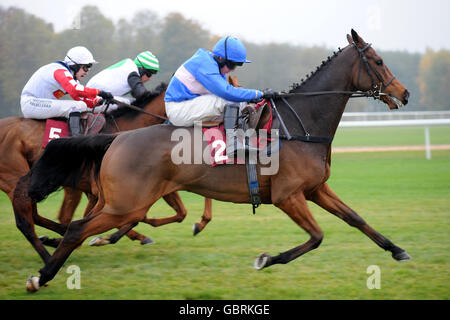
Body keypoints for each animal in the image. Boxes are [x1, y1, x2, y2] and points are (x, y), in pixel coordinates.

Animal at [26, 30, 410, 292]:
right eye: (378, 61)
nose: (404, 93)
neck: (300, 125)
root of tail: (116, 138)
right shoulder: (288, 196)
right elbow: (316, 237)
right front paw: (266, 259)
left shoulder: (316, 189)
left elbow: (356, 219)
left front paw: (397, 250)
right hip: (126, 204)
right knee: (78, 227)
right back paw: (42, 276)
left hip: (120, 200)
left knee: (80, 225)